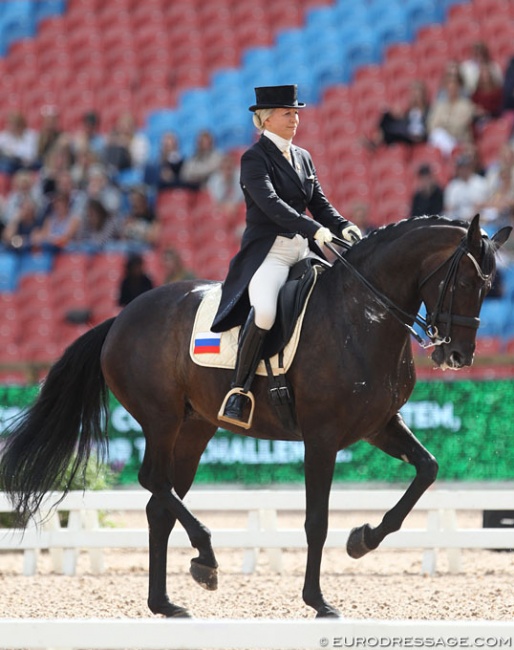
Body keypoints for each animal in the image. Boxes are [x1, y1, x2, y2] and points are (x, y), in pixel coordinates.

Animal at [0, 214, 508, 616]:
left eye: (489, 288)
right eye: (465, 282)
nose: (457, 355)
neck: (363, 315)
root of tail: (120, 317)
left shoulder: (379, 426)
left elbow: (427, 470)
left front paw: (363, 539)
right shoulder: (322, 438)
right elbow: (316, 520)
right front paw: (318, 601)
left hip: (195, 429)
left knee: (160, 502)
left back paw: (166, 601)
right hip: (162, 420)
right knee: (152, 481)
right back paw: (205, 558)